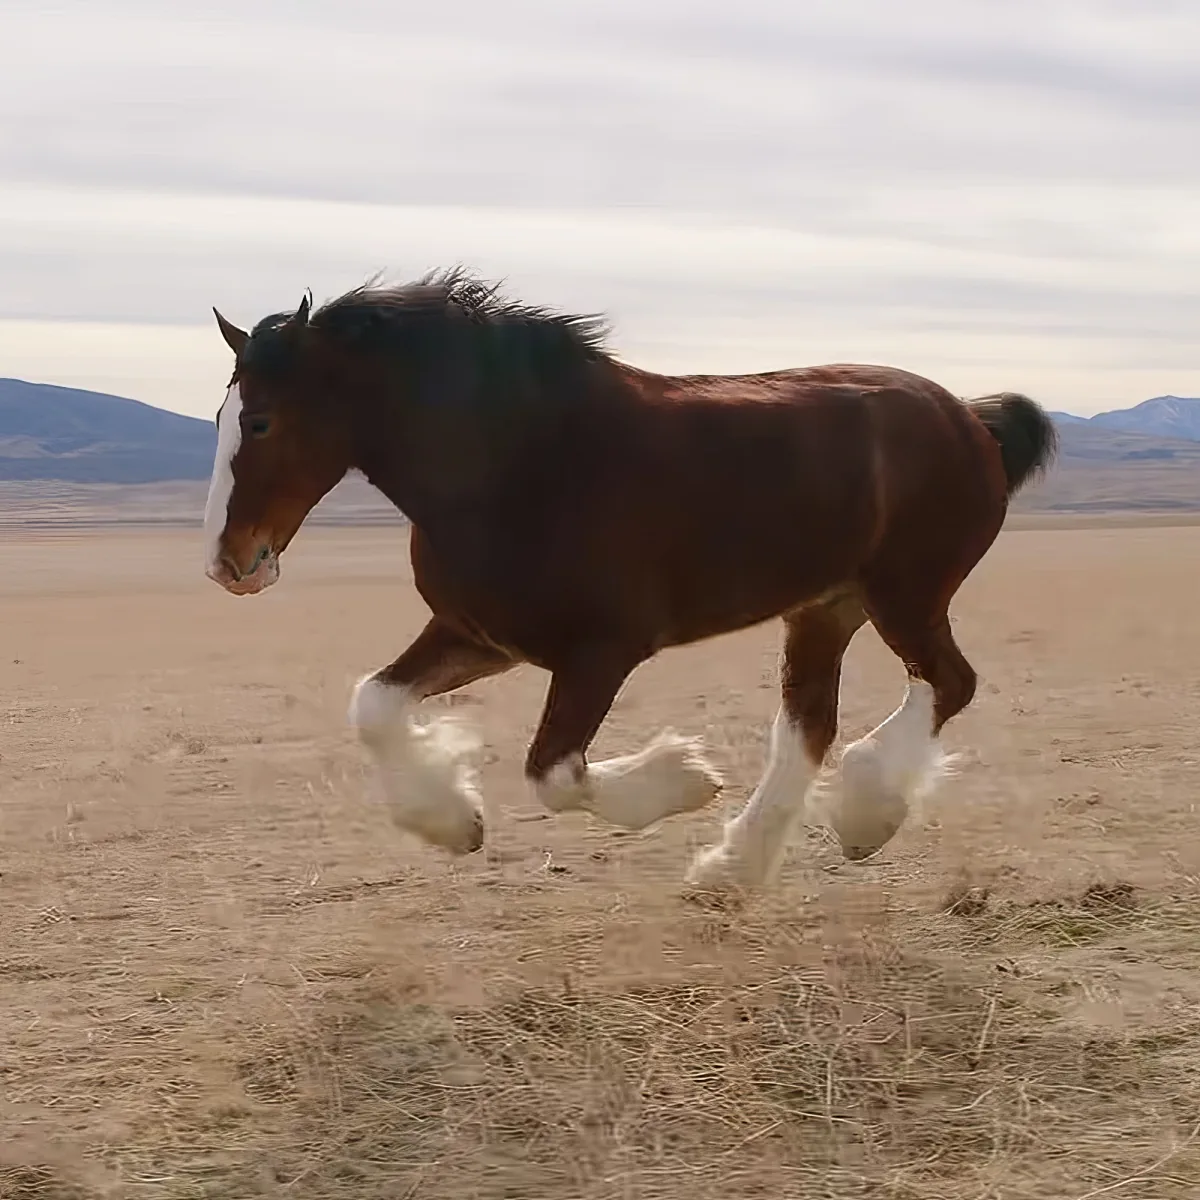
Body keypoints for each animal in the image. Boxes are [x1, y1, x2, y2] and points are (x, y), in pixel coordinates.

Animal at [202, 268, 1057, 895]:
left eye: (260, 422)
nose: (228, 562)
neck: (517, 463)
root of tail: (969, 415)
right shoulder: (481, 636)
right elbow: (373, 704)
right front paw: (452, 822)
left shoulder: (601, 651)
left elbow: (553, 773)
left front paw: (686, 778)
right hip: (825, 607)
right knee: (810, 726)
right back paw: (732, 872)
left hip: (905, 594)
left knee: (947, 683)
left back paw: (863, 814)